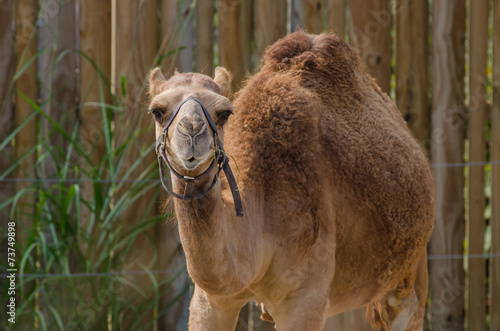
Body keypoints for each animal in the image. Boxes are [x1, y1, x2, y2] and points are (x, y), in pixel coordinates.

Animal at [147, 31, 434, 331]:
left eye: (224, 112)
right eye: (157, 110)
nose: (192, 130)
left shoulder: (305, 299)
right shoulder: (210, 301)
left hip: (411, 275)